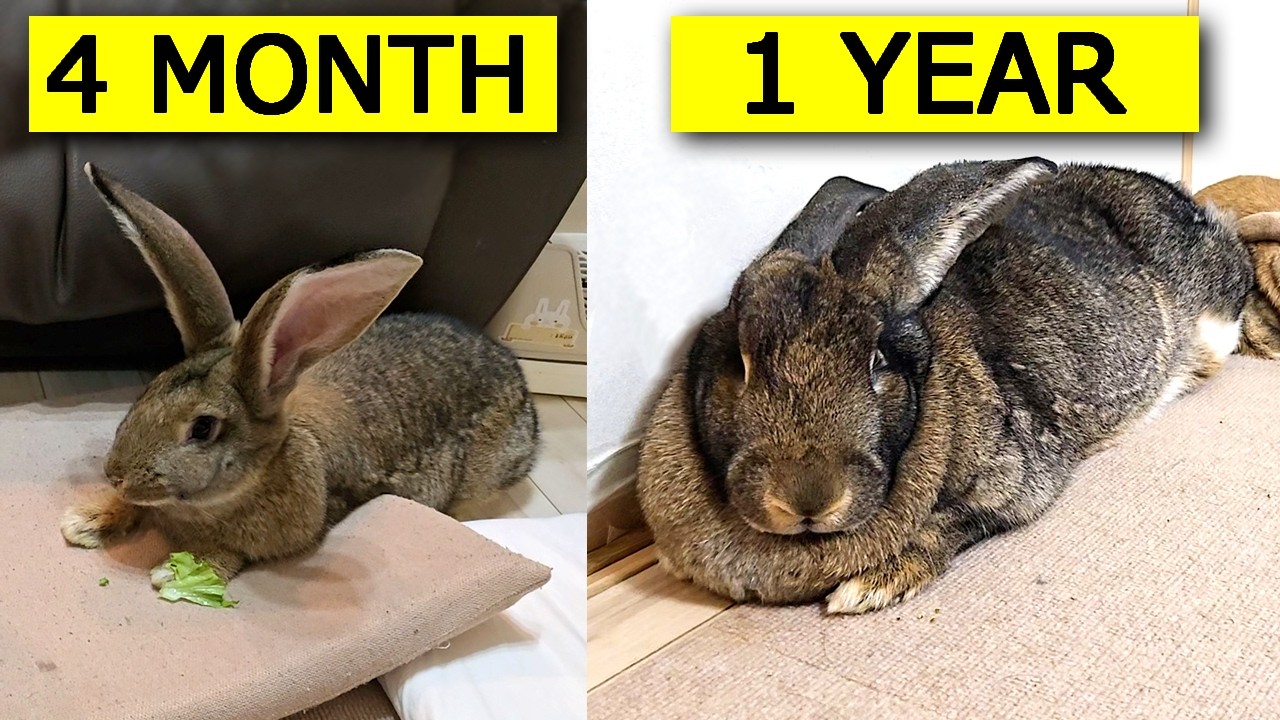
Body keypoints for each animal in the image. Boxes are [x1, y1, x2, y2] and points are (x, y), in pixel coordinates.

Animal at [60, 164, 540, 588]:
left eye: (202, 428)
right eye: (149, 390)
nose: (115, 474)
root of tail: (515, 376)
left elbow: (231, 553)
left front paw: (178, 572)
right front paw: (86, 521)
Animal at [638, 158, 1255, 615]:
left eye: (876, 362)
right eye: (739, 364)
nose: (807, 498)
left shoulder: (1014, 482)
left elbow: (951, 526)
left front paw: (868, 588)